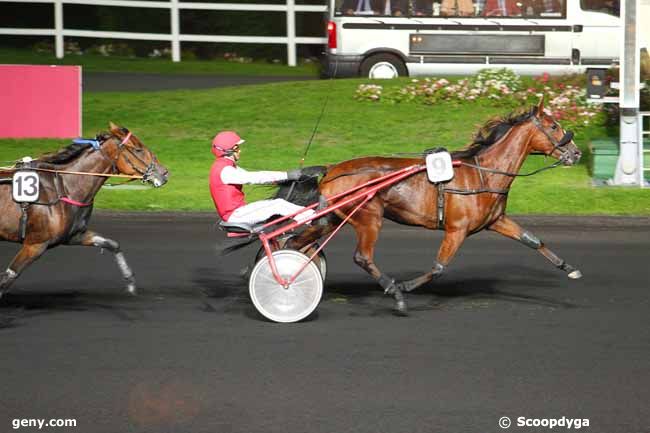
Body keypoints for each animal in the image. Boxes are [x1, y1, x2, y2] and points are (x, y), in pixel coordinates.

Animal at [0, 121, 167, 296]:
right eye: (138, 149)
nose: (164, 173)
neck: (62, 186)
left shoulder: (74, 235)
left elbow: (111, 244)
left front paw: (130, 281)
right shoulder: (35, 244)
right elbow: (7, 278)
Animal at [284, 98, 584, 314]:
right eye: (554, 126)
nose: (576, 152)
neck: (483, 173)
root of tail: (332, 168)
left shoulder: (496, 221)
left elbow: (533, 240)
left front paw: (570, 268)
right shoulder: (457, 229)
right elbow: (439, 267)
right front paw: (404, 286)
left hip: (333, 218)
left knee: (297, 244)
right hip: (369, 217)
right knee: (362, 257)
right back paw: (394, 293)